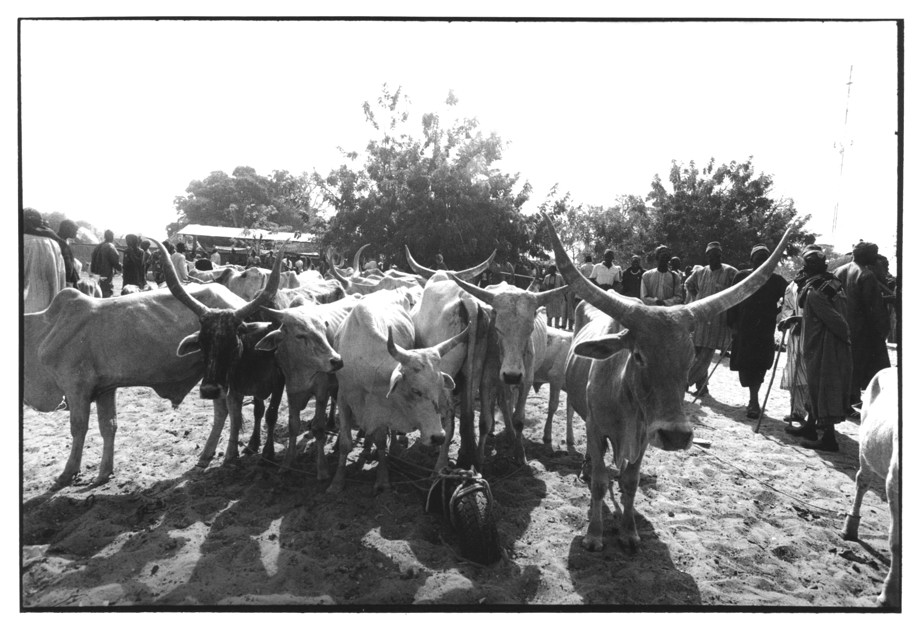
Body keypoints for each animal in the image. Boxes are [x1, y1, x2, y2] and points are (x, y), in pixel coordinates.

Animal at [24, 283, 248, 489]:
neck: (45, 329)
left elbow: (78, 428)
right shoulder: (105, 389)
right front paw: (104, 473)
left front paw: (67, 473)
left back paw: (229, 455)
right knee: (223, 411)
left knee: (233, 410)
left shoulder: (76, 387)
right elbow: (108, 426)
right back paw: (206, 455)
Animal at [155, 238, 287, 467]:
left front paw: (268, 453)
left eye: (233, 344)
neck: (254, 354)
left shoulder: (279, 382)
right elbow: (255, 411)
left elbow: (271, 414)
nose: (209, 391)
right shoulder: (240, 386)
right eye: (202, 343)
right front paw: (252, 444)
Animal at [253, 294, 362, 479]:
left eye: (324, 330)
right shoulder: (291, 390)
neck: (300, 369)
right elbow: (293, 426)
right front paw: (287, 463)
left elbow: (318, 428)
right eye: (300, 335)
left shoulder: (321, 391)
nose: (337, 361)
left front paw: (322, 469)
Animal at [330, 288, 468, 493]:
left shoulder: (382, 405)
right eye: (415, 390)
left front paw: (382, 479)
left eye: (438, 388)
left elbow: (380, 439)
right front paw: (337, 481)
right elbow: (345, 443)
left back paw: (393, 446)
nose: (438, 437)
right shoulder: (343, 397)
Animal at [542, 211, 792, 552]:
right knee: (588, 448)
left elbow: (630, 483)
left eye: (689, 358)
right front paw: (594, 534)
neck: (626, 402)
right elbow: (599, 482)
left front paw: (630, 532)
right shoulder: (595, 427)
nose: (676, 436)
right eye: (638, 355)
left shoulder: (645, 436)